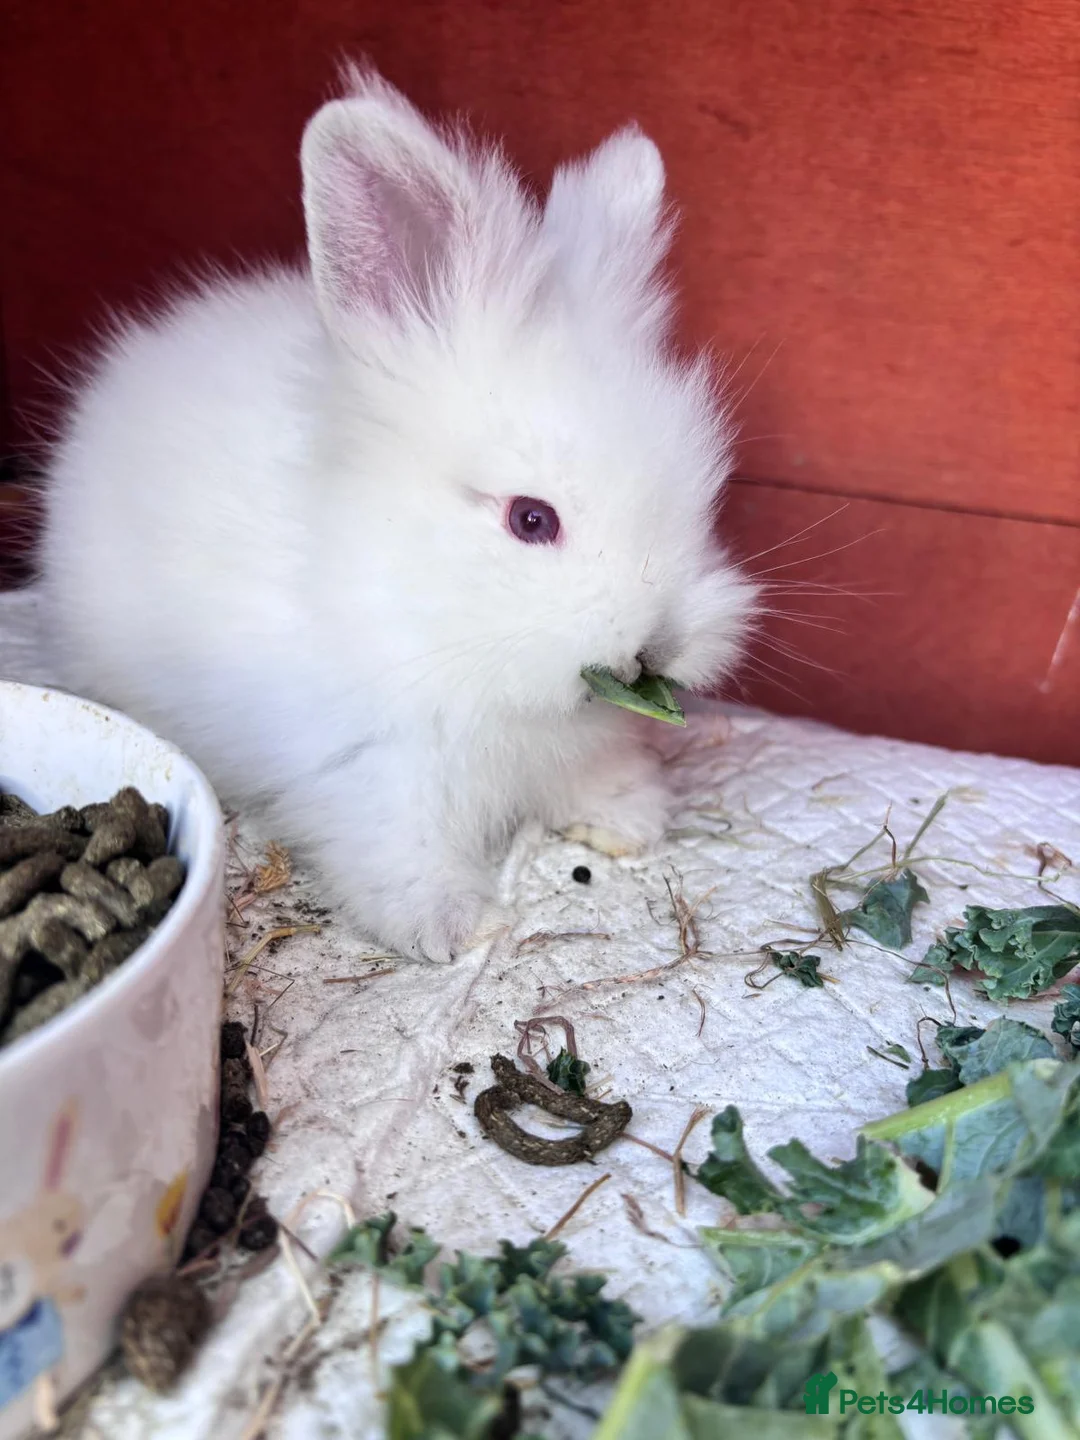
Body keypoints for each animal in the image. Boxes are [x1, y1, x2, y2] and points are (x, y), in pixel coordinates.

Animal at [36, 65, 759, 963]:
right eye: (531, 520)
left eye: (701, 499)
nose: (654, 647)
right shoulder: (372, 773)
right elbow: (400, 852)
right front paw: (455, 929)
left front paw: (626, 821)